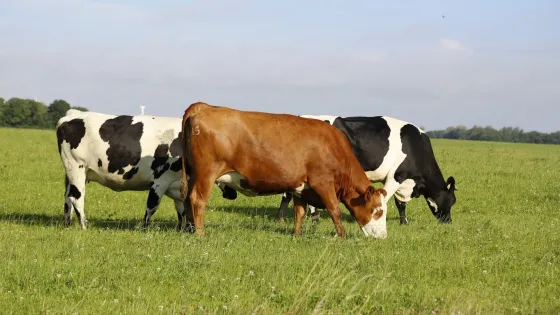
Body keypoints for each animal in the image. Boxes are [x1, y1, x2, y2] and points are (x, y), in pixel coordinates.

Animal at [179, 103, 390, 239]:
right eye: (378, 210)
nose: (383, 236)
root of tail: (204, 107)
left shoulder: (301, 187)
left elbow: (299, 212)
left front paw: (296, 235)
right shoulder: (323, 182)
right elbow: (334, 210)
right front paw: (342, 236)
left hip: (192, 174)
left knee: (187, 199)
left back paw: (188, 229)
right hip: (206, 173)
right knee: (197, 200)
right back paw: (200, 234)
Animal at [278, 115, 458, 225]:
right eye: (452, 200)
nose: (448, 222)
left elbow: (400, 204)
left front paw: (403, 222)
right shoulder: (396, 176)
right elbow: (386, 199)